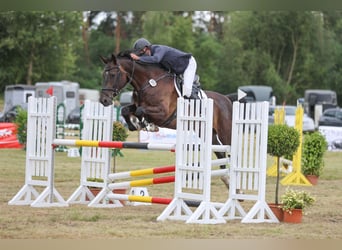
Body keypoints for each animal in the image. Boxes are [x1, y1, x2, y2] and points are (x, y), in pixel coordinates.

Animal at [99, 52, 232, 188]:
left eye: (113, 75)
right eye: (103, 75)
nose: (104, 100)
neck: (149, 83)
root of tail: (227, 99)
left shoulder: (163, 112)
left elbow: (140, 111)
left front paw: (147, 124)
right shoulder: (138, 105)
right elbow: (126, 110)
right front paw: (136, 125)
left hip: (225, 132)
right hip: (205, 131)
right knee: (220, 151)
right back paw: (226, 179)